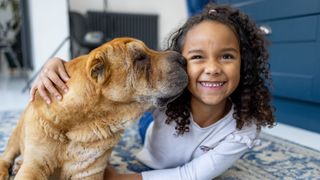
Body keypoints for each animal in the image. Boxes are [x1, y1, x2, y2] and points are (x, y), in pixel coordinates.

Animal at [0, 37, 189, 179]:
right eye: (140, 57)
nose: (183, 59)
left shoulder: (90, 172)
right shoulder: (34, 167)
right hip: (17, 134)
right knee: (7, 155)